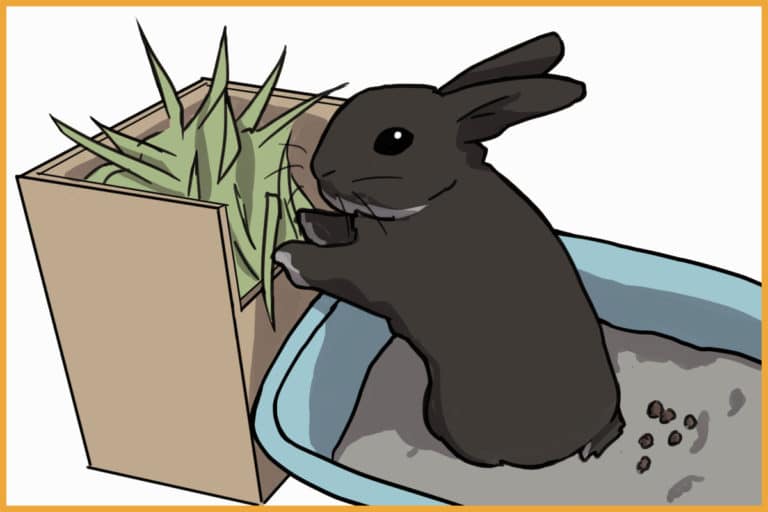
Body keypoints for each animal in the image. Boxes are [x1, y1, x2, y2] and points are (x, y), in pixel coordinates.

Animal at [274, 32, 624, 468]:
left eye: (394, 140)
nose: (321, 173)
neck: (436, 195)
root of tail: (593, 428)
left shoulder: (374, 271)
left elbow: (333, 269)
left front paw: (287, 253)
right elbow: (337, 229)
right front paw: (307, 219)